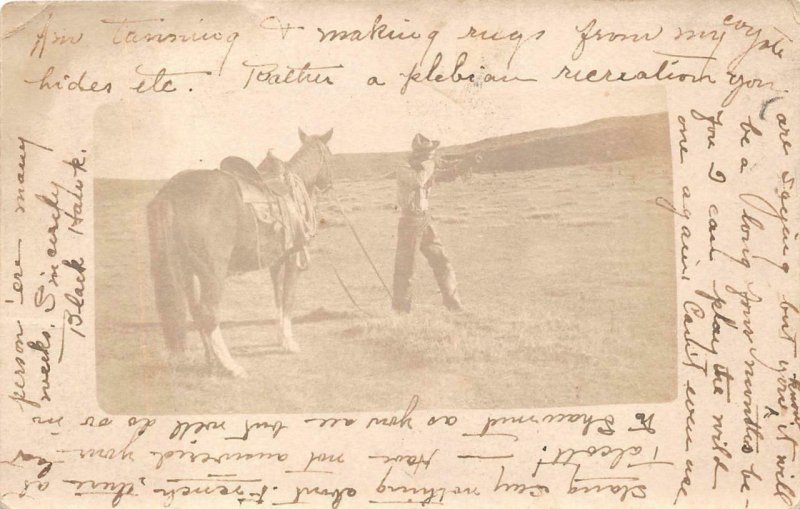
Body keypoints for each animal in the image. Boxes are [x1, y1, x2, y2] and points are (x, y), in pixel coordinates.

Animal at [145, 127, 332, 376]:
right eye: (330, 155)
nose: (329, 183)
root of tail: (170, 193)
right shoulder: (293, 259)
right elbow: (288, 298)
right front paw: (289, 343)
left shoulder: (276, 262)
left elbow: (278, 298)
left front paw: (280, 338)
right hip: (212, 272)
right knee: (208, 312)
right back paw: (230, 365)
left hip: (184, 269)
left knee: (194, 312)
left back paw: (211, 360)